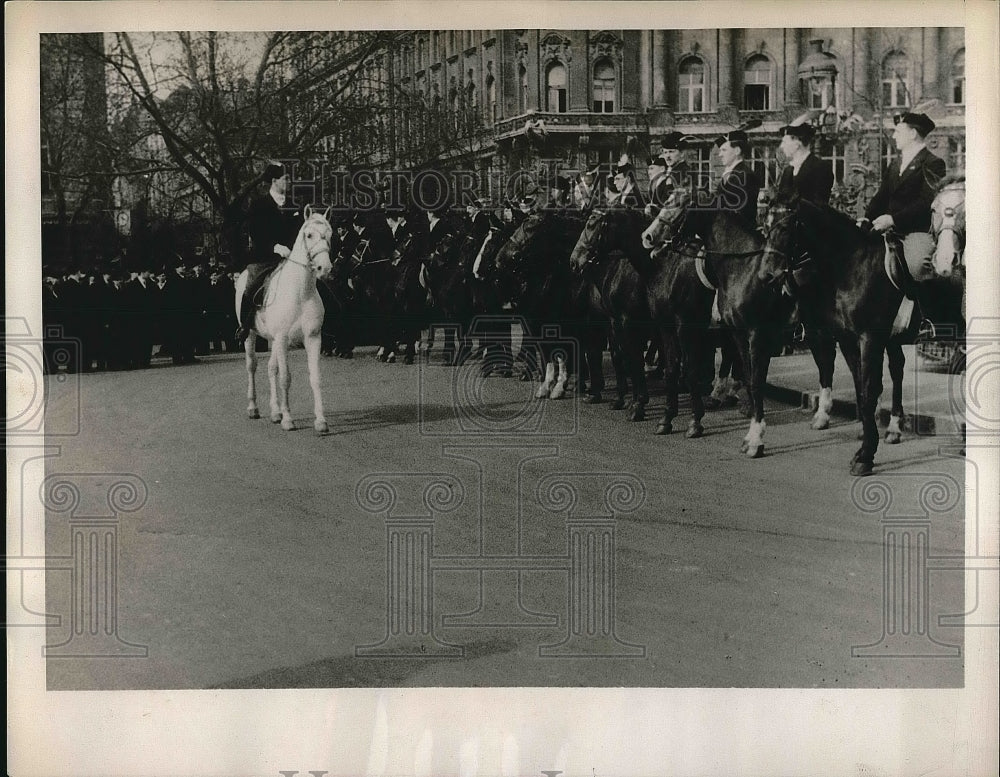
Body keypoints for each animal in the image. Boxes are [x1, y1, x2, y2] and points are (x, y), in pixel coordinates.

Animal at [233, 206, 332, 434]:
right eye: (309, 235)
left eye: (330, 234)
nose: (325, 269)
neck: (300, 292)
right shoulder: (283, 338)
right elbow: (285, 379)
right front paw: (288, 420)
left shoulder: (312, 338)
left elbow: (315, 378)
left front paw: (320, 420)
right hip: (251, 336)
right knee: (252, 366)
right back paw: (254, 408)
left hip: (274, 340)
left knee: (271, 369)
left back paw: (275, 412)